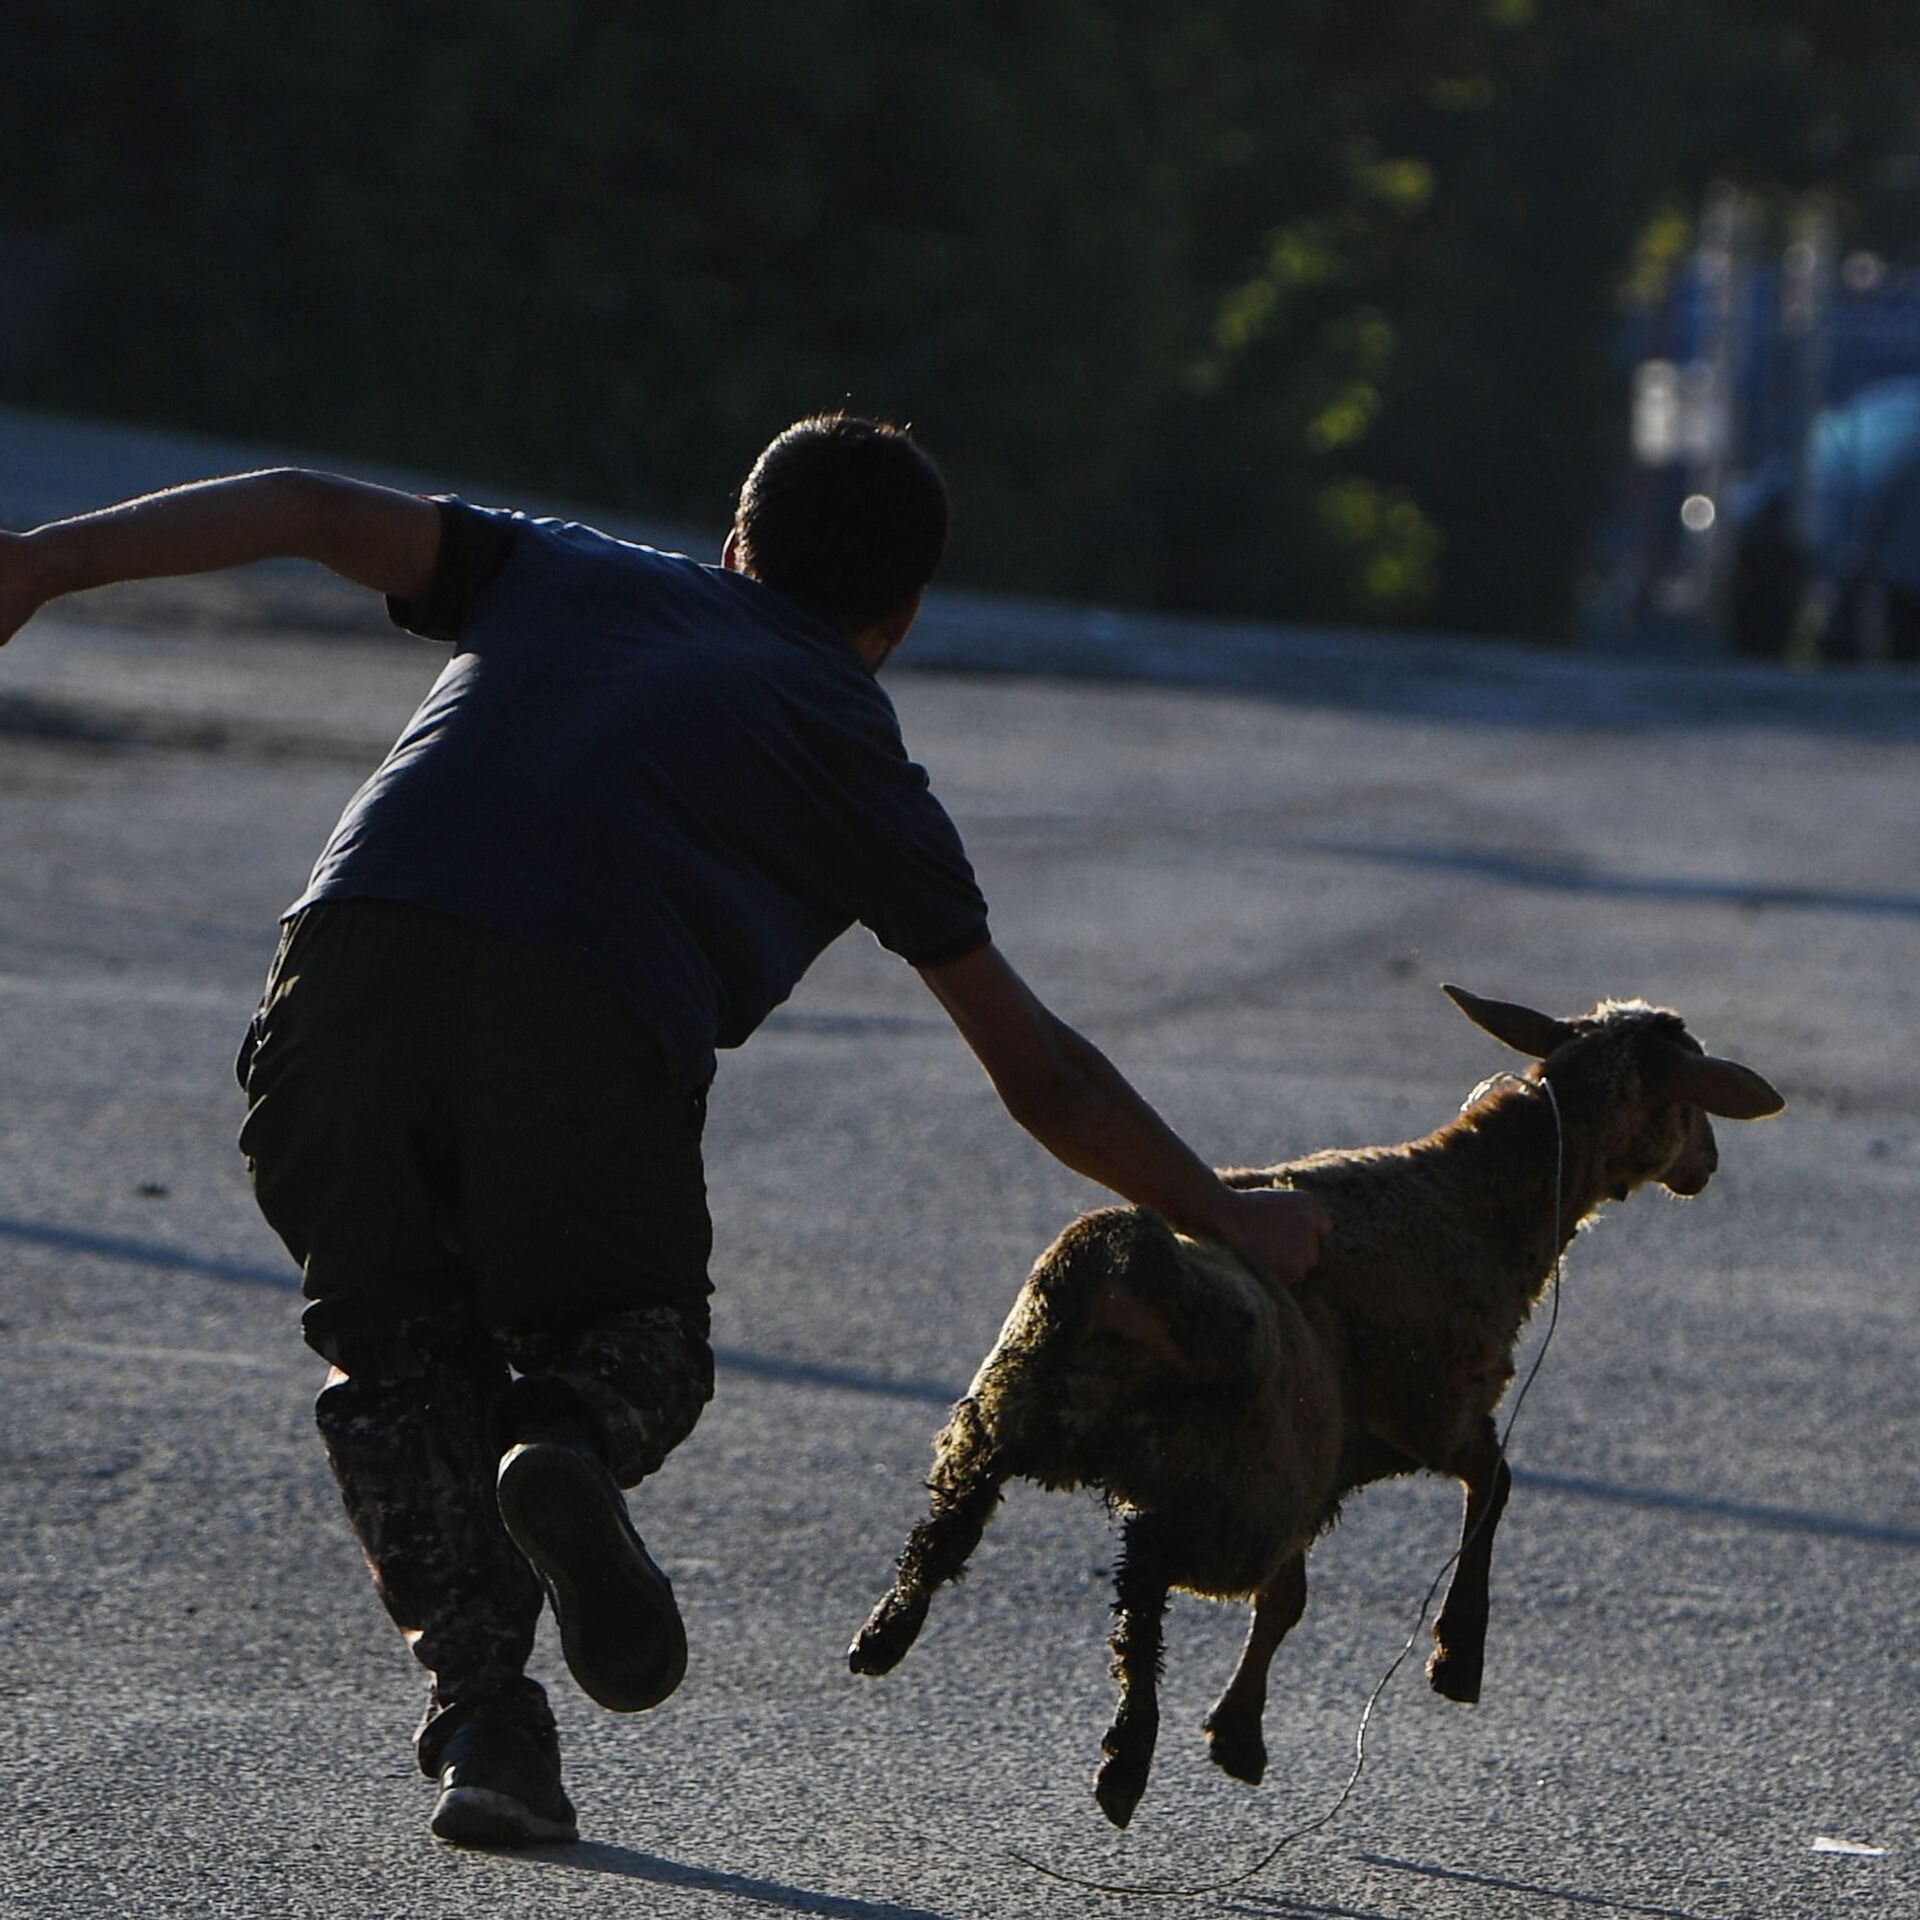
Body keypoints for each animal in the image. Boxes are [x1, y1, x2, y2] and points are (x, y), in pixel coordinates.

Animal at [852, 990, 1781, 1827]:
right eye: (1694, 1097)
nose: (1707, 1166)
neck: (1482, 1197)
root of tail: (1120, 1268)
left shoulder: (1320, 1468)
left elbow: (1288, 1600)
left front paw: (1238, 1734)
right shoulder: (1431, 1413)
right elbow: (1495, 1487)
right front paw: (1456, 1656)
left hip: (1010, 1412)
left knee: (951, 1526)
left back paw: (886, 1636)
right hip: (1232, 1488)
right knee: (1144, 1572)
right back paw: (1124, 1759)